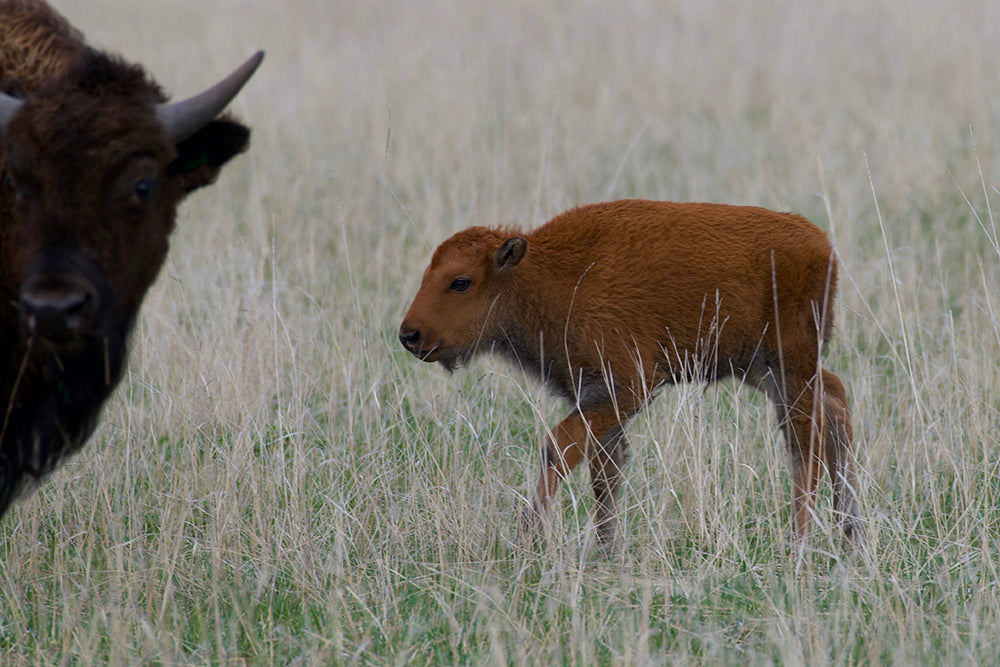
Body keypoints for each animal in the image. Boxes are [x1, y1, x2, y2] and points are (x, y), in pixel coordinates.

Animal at [402, 200, 864, 552]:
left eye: (460, 281)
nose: (410, 334)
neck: (543, 276)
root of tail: (822, 244)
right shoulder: (593, 397)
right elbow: (604, 470)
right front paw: (605, 547)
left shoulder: (627, 388)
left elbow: (559, 447)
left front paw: (527, 539)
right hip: (764, 369)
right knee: (835, 404)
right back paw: (850, 533)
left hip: (788, 366)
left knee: (805, 443)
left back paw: (798, 542)